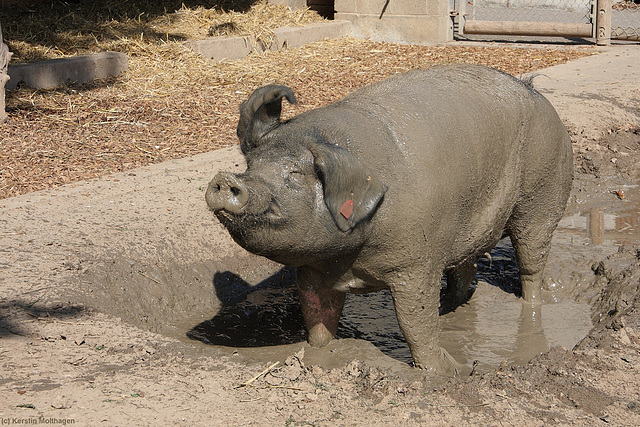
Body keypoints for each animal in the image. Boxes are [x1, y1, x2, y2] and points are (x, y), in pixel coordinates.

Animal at [206, 63, 576, 374]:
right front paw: (319, 353)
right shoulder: (312, 269)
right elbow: (316, 315)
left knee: (532, 264)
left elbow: (415, 323)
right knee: (465, 269)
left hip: (543, 197)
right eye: (252, 165)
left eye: (295, 174)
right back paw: (450, 304)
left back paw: (530, 306)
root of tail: (537, 95)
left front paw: (445, 371)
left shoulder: (417, 262)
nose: (226, 179)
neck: (350, 262)